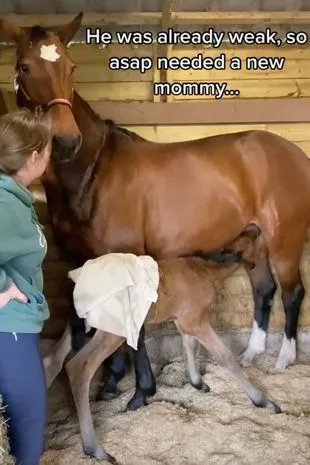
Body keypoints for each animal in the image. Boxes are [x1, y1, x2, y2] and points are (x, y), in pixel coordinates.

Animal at [63, 227, 280, 460]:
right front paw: (262, 401)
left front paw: (198, 383)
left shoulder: (184, 322)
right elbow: (226, 357)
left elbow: (190, 346)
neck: (204, 270)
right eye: (263, 251)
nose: (269, 284)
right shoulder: (195, 322)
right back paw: (94, 448)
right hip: (111, 333)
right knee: (78, 368)